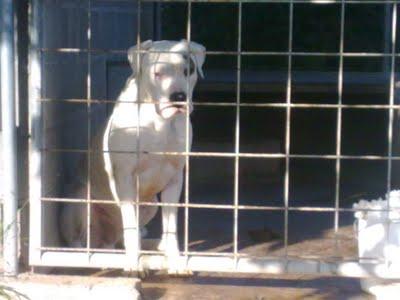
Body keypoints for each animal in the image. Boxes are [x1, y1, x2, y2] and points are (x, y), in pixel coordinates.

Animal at [60, 39, 206, 272]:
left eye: (188, 71)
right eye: (158, 73)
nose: (179, 97)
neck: (159, 123)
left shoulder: (174, 180)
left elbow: (170, 226)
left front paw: (175, 260)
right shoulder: (125, 178)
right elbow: (129, 220)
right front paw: (133, 262)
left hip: (151, 205)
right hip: (80, 201)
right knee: (80, 241)